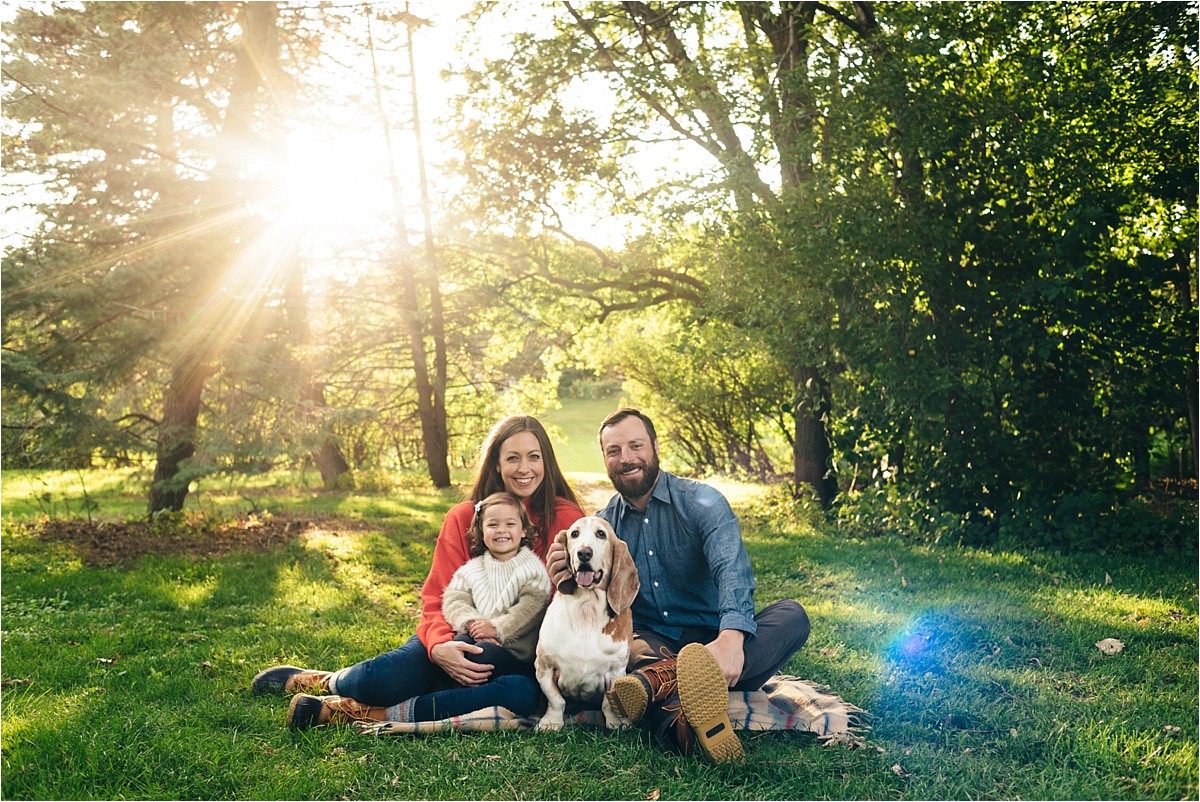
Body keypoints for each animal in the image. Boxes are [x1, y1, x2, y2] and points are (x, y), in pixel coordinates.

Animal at [537, 516, 643, 729]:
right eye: (574, 534)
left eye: (601, 534)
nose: (584, 553)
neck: (586, 609)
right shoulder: (544, 666)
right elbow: (556, 700)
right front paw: (551, 722)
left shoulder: (616, 671)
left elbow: (608, 702)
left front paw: (616, 722)